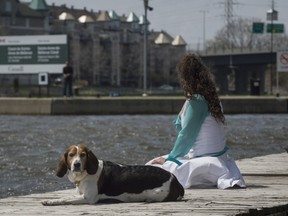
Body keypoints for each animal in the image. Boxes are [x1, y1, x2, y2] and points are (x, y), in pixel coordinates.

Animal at [41, 144, 183, 205]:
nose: (76, 164)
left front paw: (49, 201)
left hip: (156, 193)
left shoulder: (89, 198)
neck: (85, 174)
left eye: (83, 155)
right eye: (71, 155)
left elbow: (65, 198)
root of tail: (175, 179)